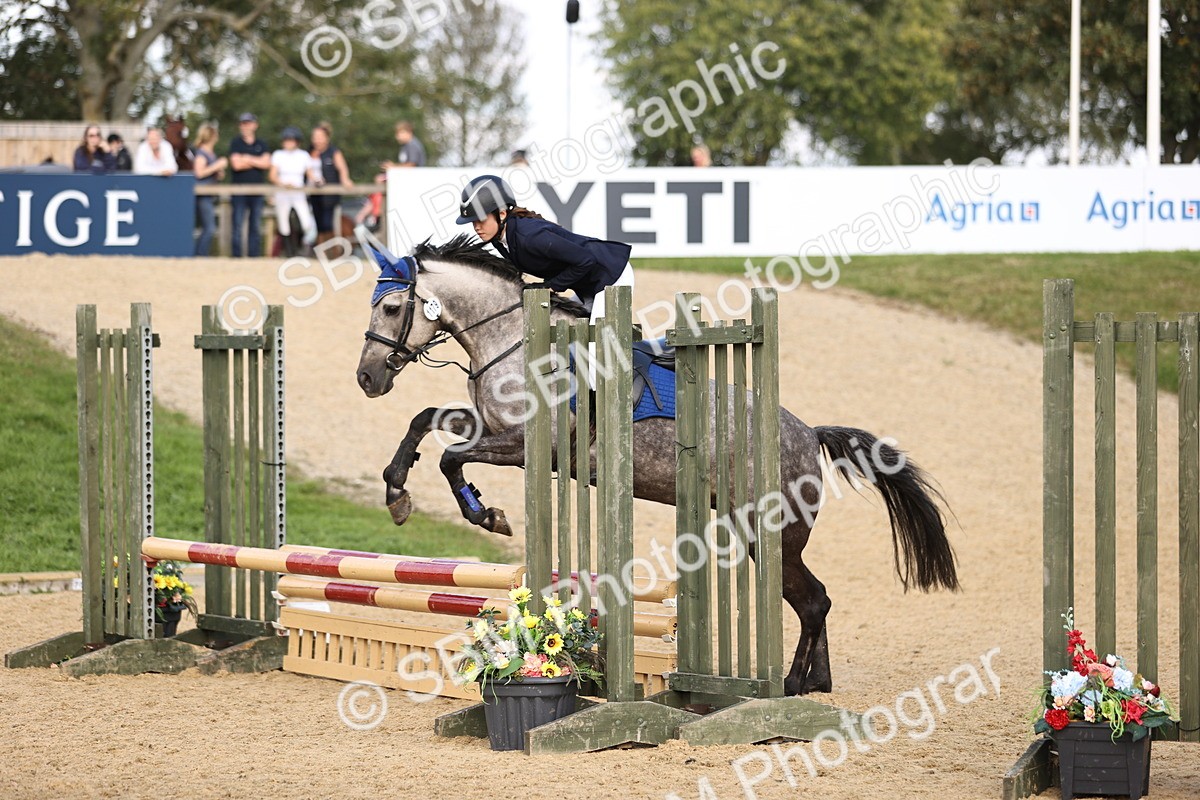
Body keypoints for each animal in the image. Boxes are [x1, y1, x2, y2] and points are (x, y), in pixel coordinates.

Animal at [355, 235, 960, 696]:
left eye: (391, 308)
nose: (367, 378)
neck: (511, 340)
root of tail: (808, 434)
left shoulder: (528, 445)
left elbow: (450, 456)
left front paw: (486, 516)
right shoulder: (489, 425)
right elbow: (425, 423)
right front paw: (397, 493)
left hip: (771, 534)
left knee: (812, 602)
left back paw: (789, 686)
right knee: (819, 599)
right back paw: (817, 682)